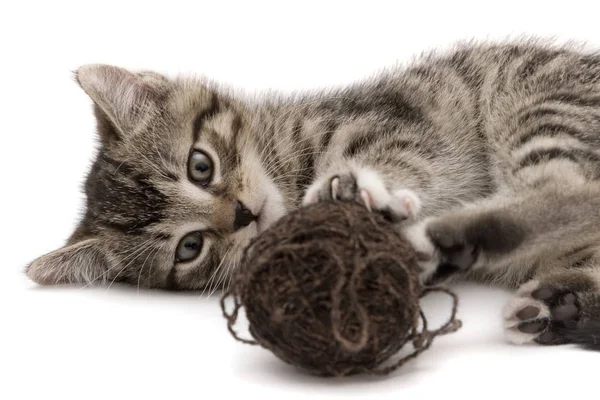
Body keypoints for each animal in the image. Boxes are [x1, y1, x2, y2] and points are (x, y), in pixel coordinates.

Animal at [25, 39, 600, 348]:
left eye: (200, 165)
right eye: (190, 248)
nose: (243, 214)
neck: (285, 164)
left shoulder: (398, 124)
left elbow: (395, 160)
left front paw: (353, 191)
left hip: (536, 98)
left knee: (570, 188)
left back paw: (453, 238)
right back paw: (558, 306)